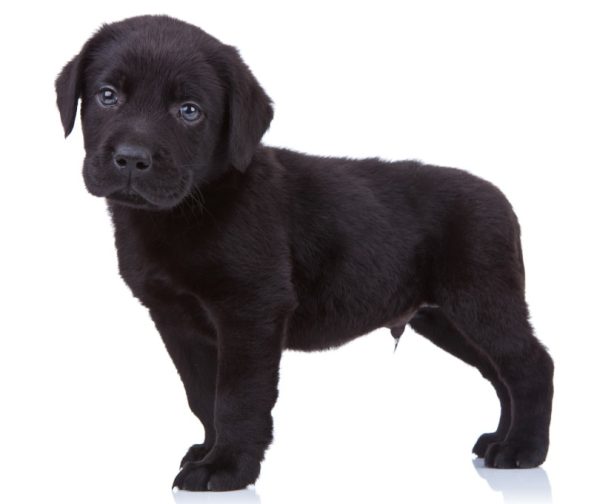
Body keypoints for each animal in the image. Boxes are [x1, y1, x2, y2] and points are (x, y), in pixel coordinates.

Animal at [56, 15, 552, 492]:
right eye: (107, 96)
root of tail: (503, 201)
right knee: (501, 374)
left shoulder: (251, 311)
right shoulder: (177, 320)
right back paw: (500, 440)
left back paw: (522, 450)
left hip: (481, 302)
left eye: (189, 111)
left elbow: (237, 397)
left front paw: (227, 468)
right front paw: (209, 451)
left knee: (530, 365)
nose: (131, 158)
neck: (187, 211)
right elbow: (203, 396)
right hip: (446, 319)